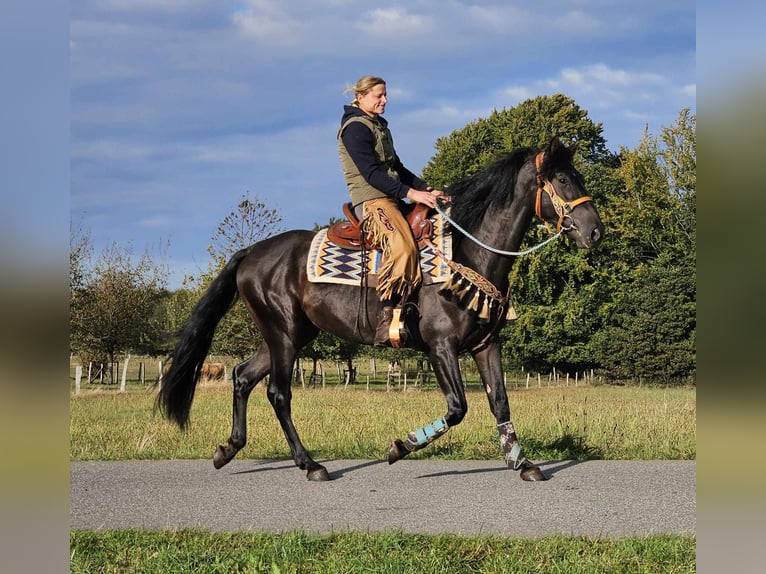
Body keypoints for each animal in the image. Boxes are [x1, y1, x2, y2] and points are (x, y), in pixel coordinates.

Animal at [159, 137, 608, 484]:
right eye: (563, 179)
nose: (595, 231)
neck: (468, 253)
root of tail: (251, 251)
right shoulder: (441, 347)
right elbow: (457, 408)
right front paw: (399, 446)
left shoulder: (485, 345)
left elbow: (500, 402)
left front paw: (523, 463)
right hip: (283, 334)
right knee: (278, 393)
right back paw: (311, 465)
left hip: (287, 335)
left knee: (242, 377)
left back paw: (228, 450)